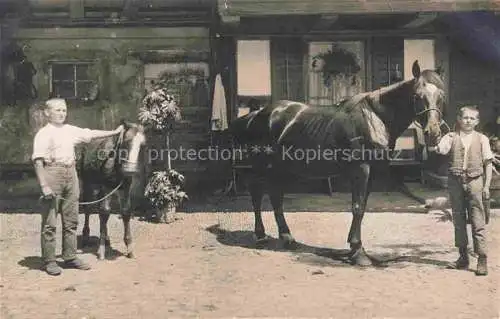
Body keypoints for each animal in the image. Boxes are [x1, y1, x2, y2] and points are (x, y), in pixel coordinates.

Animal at [229, 60, 448, 268]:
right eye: (417, 96)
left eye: (441, 96)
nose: (433, 133)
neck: (375, 118)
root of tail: (259, 114)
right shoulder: (361, 169)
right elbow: (357, 207)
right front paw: (358, 253)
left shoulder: (372, 172)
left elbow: (362, 206)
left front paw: (354, 247)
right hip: (262, 166)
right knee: (257, 193)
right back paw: (261, 236)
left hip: (280, 167)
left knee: (276, 196)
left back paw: (287, 237)